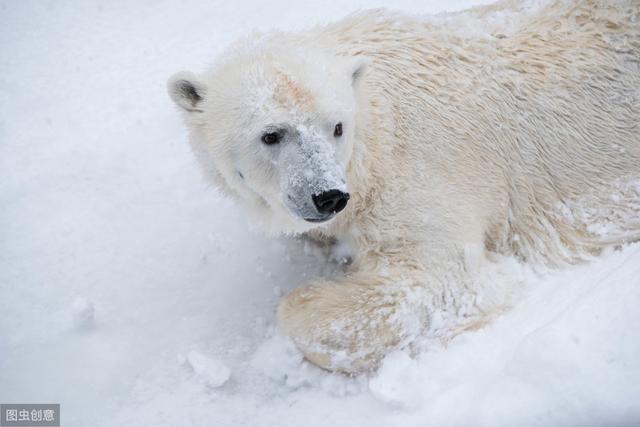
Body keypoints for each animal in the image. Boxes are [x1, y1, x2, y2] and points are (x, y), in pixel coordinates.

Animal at [169, 0, 640, 372]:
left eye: (337, 126)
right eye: (271, 134)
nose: (328, 197)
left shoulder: (416, 170)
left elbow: (443, 282)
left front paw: (308, 295)